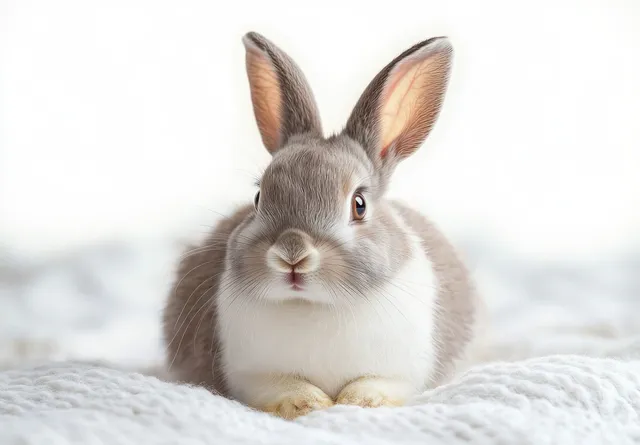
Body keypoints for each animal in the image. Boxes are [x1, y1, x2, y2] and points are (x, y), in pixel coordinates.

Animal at [163, 31, 486, 420]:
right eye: (259, 196)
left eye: (359, 205)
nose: (293, 253)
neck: (315, 304)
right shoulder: (253, 376)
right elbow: (282, 387)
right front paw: (308, 403)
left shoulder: (401, 372)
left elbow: (378, 384)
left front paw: (359, 401)